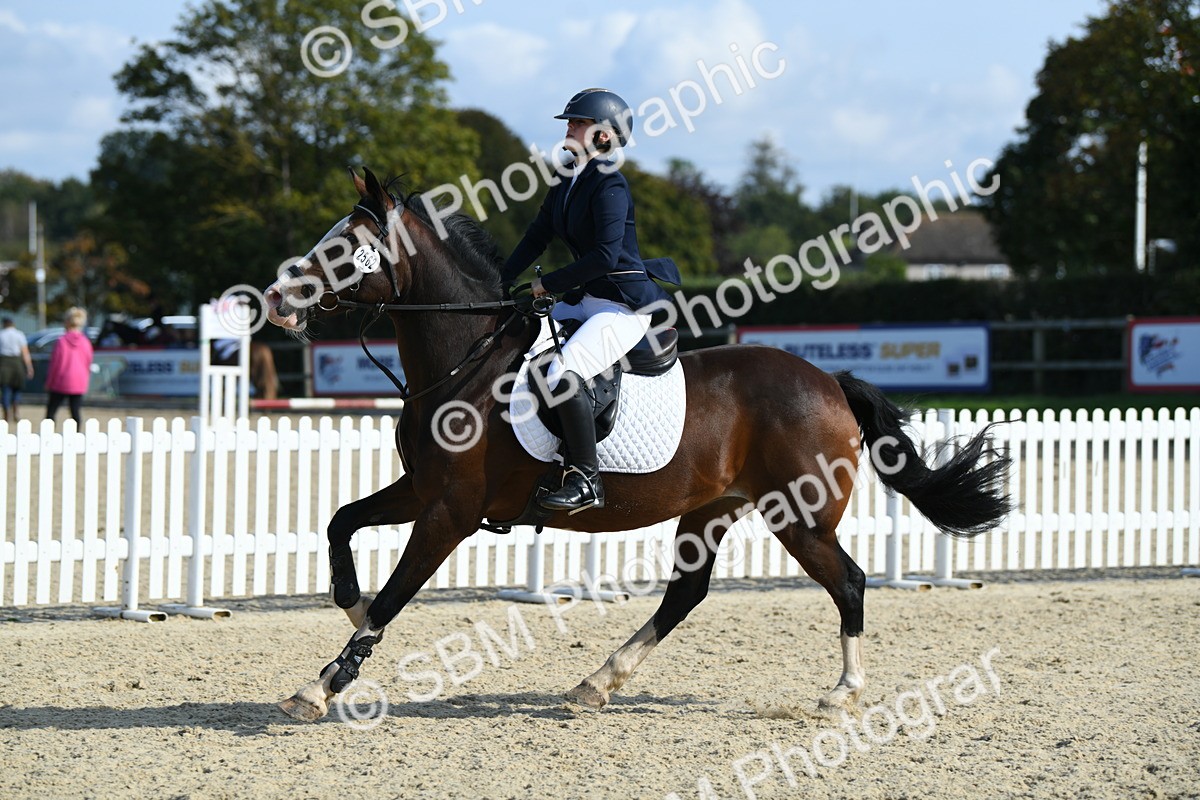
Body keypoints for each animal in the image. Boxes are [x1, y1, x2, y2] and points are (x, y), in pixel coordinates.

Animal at [263, 168, 1011, 722]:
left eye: (342, 247)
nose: (273, 298)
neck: (465, 360)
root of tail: (828, 380)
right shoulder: (422, 491)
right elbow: (341, 524)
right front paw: (349, 604)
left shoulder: (451, 512)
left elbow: (396, 594)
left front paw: (323, 684)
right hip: (712, 508)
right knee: (686, 594)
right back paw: (598, 681)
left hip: (797, 514)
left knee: (848, 582)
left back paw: (840, 694)